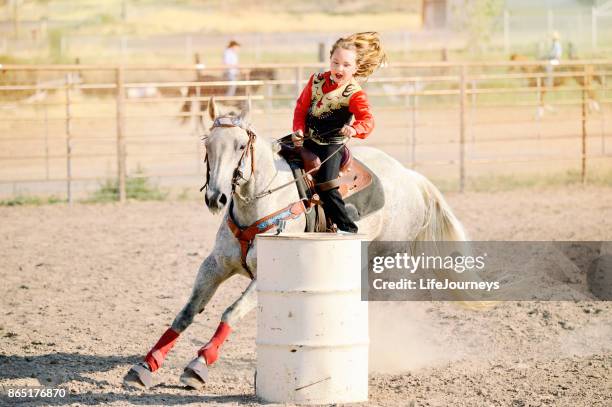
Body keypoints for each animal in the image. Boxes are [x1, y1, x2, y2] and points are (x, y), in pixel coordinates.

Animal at [124, 96, 468, 392]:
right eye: (207, 144)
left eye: (240, 145)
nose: (216, 198)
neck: (261, 201)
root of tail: (411, 177)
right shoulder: (215, 266)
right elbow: (186, 313)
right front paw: (145, 366)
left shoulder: (265, 277)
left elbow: (230, 313)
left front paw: (197, 366)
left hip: (387, 261)